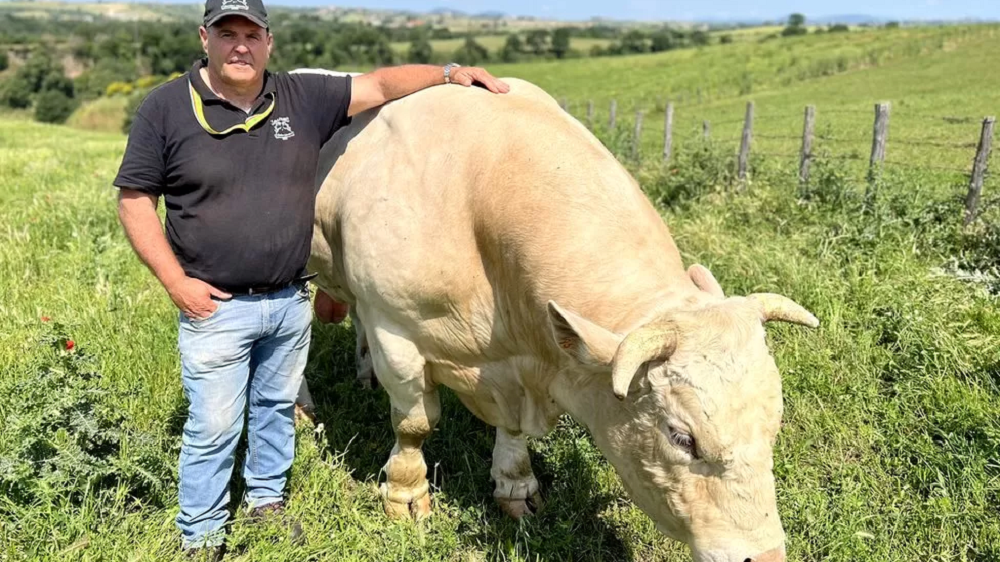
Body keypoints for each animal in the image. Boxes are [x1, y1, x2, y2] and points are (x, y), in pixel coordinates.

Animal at [300, 79, 816, 560]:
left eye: (774, 425)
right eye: (682, 437)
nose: (764, 556)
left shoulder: (514, 365)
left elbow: (510, 431)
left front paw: (515, 484)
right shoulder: (396, 330)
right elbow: (414, 425)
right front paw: (405, 495)